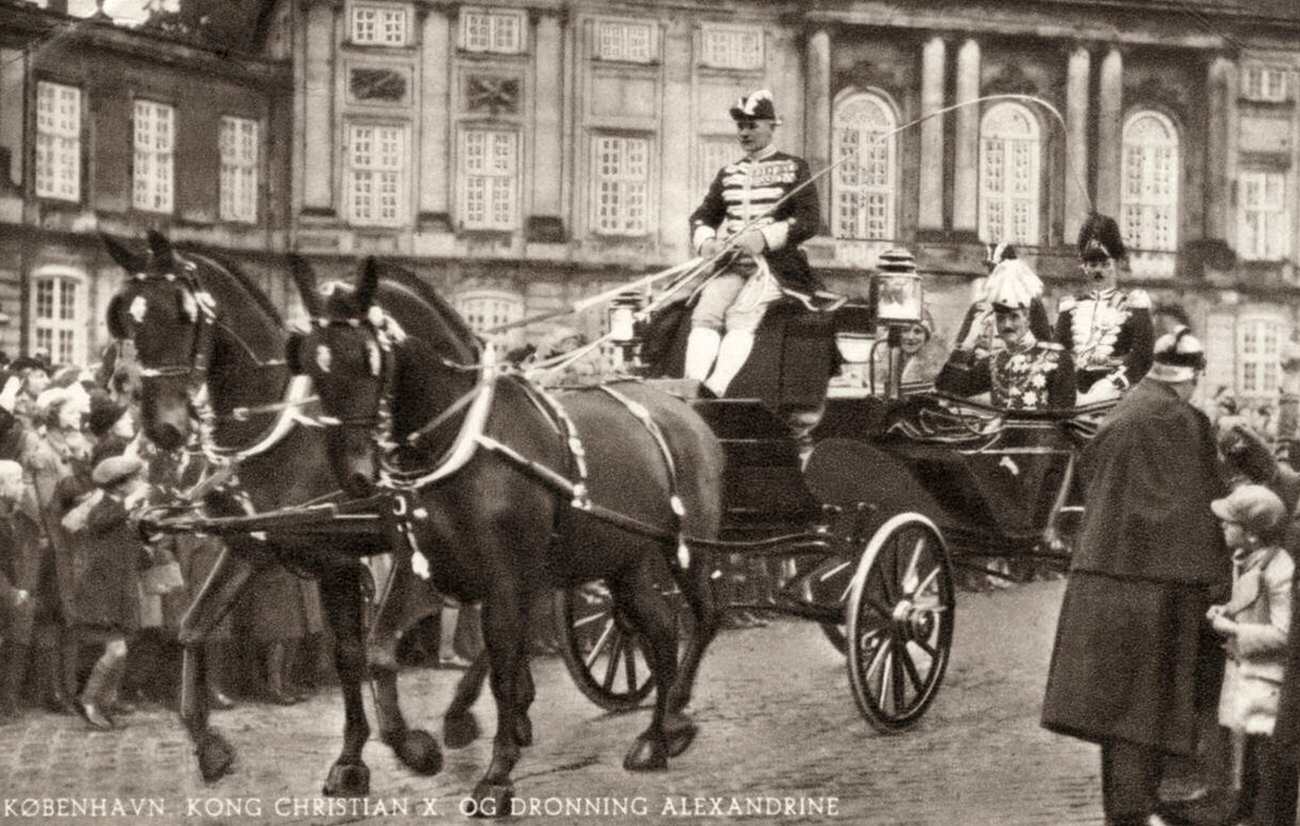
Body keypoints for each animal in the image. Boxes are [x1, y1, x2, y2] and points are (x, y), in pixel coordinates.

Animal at [101, 231, 475, 796]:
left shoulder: (357, 557)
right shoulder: (256, 549)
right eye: (127, 315)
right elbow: (195, 629)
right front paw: (215, 746)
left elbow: (370, 649)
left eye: (183, 314)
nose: (163, 429)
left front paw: (406, 745)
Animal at [286, 260, 728, 816]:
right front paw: (411, 750)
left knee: (704, 618)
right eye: (309, 361)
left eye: (369, 359)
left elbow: (501, 671)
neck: (459, 440)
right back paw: (658, 735)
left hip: (686, 551)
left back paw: (674, 719)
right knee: (662, 631)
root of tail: (685, 411)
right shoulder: (422, 568)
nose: (356, 476)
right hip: (624, 562)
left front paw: (496, 775)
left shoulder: (504, 580)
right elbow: (378, 652)